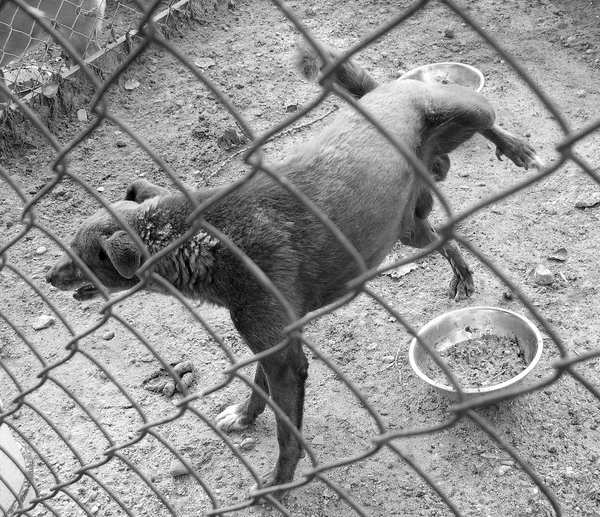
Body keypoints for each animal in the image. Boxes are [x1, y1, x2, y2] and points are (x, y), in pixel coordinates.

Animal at [47, 41, 544, 496]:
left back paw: (518, 148)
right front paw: (244, 417)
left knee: (491, 121)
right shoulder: (271, 340)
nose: (49, 277)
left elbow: (288, 433)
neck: (207, 242)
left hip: (465, 111)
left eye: (78, 255)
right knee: (447, 236)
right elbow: (257, 387)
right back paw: (462, 273)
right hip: (404, 229)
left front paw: (279, 483)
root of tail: (387, 90)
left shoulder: (286, 359)